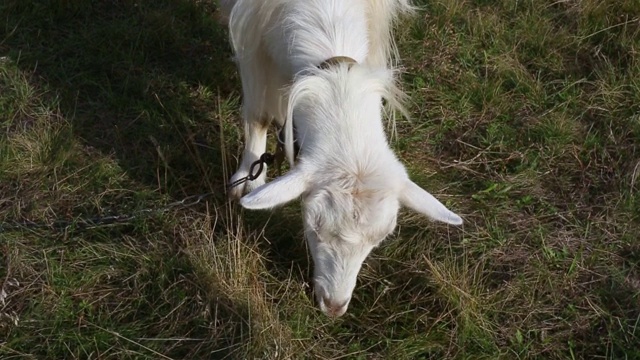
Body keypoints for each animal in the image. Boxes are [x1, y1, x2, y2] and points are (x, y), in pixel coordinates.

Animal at [220, 0, 460, 316]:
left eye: (381, 238)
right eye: (312, 226)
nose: (334, 306)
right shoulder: (250, 34)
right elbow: (259, 115)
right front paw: (250, 175)